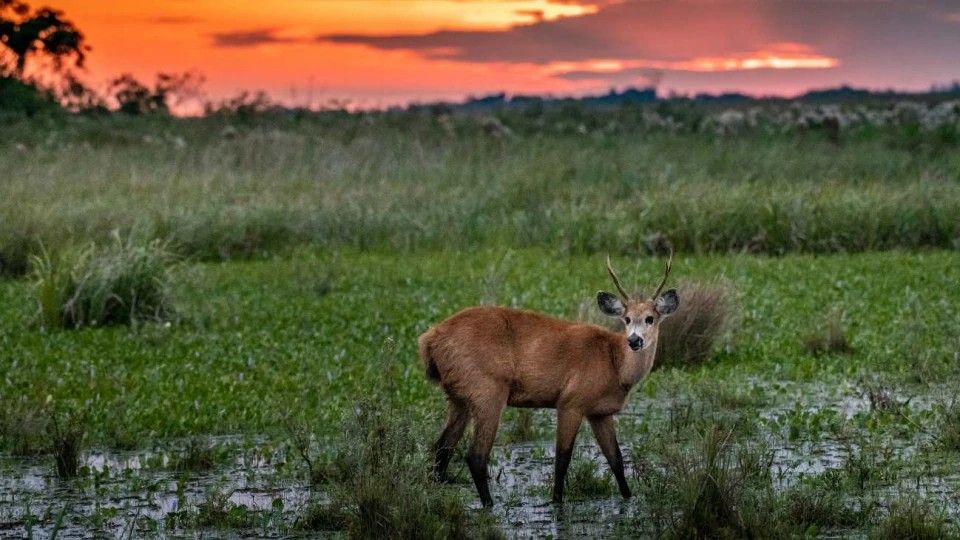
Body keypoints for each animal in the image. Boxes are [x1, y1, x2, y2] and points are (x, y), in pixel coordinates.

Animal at [416, 253, 680, 506]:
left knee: (441, 451)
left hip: (458, 397)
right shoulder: (571, 401)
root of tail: (429, 339)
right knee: (475, 456)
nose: (634, 340)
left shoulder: (600, 412)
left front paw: (629, 498)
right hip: (487, 390)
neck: (615, 365)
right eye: (626, 319)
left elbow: (616, 460)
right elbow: (562, 458)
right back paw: (489, 505)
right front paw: (556, 502)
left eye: (650, 318)